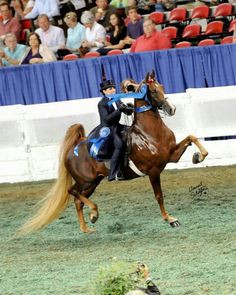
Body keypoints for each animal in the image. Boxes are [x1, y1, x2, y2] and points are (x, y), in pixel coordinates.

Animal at [20, 71, 208, 236]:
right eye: (153, 90)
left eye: (162, 86)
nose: (172, 109)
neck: (148, 133)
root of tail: (72, 149)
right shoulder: (154, 171)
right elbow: (159, 196)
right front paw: (170, 219)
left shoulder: (171, 156)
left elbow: (192, 137)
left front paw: (198, 157)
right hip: (85, 181)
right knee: (72, 192)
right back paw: (94, 213)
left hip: (93, 182)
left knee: (78, 200)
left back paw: (87, 227)